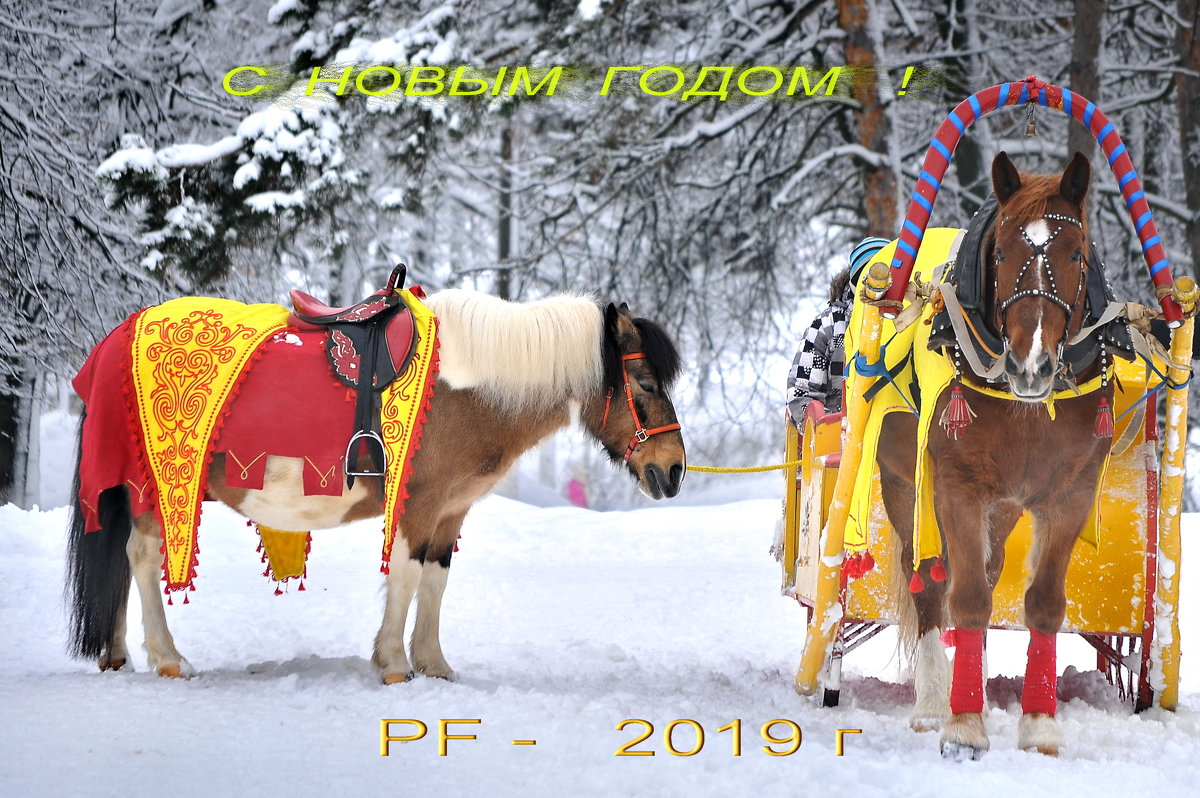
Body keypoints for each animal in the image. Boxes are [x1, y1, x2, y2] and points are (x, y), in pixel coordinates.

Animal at [63, 289, 686, 681]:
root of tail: (117, 338)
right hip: (152, 487)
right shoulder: (420, 502)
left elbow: (435, 580)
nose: (675, 469)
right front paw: (393, 664)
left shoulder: (451, 511)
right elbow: (407, 575)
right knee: (142, 558)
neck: (469, 385)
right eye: (645, 381)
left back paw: (117, 654)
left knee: (124, 564)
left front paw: (434, 664)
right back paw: (168, 658)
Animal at [873, 151, 1113, 758]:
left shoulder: (1069, 493)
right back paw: (936, 701)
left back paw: (973, 678)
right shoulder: (956, 486)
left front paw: (1040, 723)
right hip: (904, 487)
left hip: (1001, 508)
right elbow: (968, 600)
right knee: (930, 581)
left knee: (982, 567)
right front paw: (964, 727)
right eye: (1001, 253)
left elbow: (1044, 602)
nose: (1032, 366)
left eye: (1076, 254)